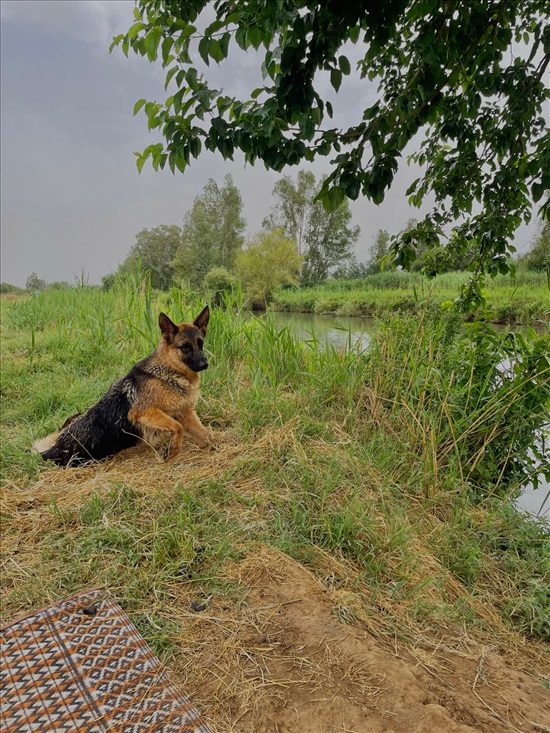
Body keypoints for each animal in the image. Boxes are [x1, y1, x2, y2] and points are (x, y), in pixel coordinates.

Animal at [34, 306, 211, 466]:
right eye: (185, 347)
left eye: (200, 344)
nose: (205, 364)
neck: (169, 371)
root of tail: (50, 450)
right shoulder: (143, 411)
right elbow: (177, 427)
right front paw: (173, 451)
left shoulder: (185, 414)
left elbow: (207, 436)